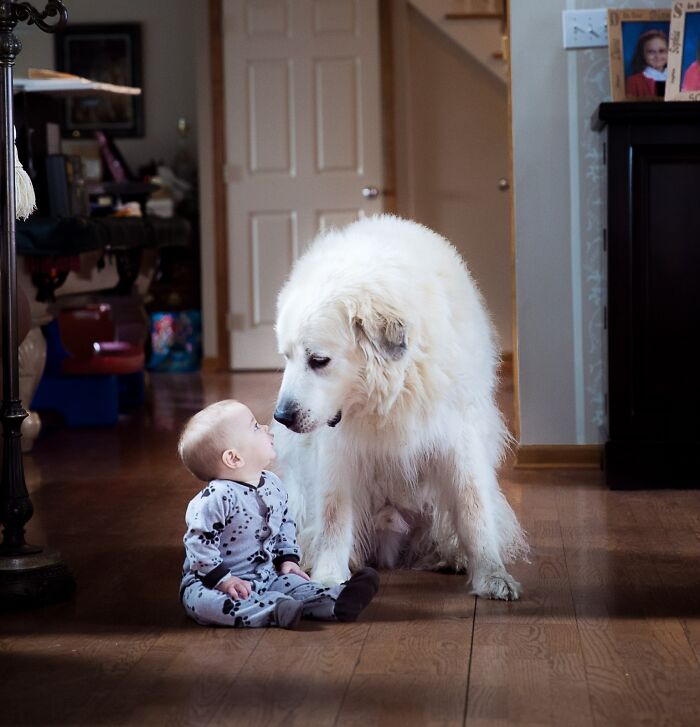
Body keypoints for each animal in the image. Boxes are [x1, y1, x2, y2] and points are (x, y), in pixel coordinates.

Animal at [270, 213, 528, 600]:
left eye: (318, 360)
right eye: (286, 357)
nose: (281, 416)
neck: (390, 394)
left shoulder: (457, 436)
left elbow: (473, 509)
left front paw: (492, 575)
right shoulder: (337, 447)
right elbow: (333, 514)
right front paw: (328, 577)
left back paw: (451, 555)